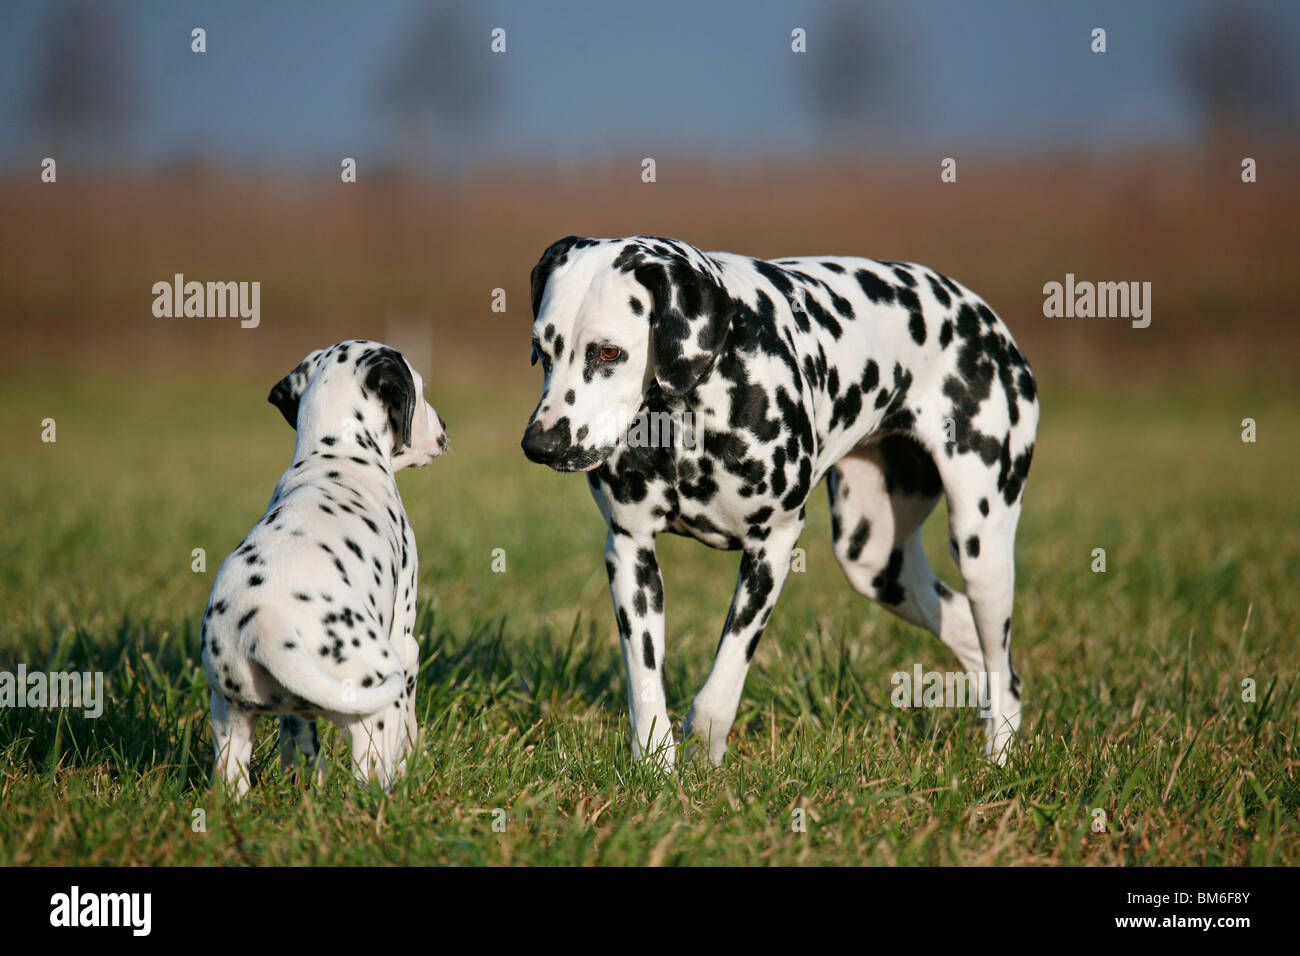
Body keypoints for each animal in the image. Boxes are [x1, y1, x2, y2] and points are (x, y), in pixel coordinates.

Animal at [201, 340, 447, 796]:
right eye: (420, 389)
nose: (443, 429)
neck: (336, 454)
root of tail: (263, 623)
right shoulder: (406, 643)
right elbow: (410, 731)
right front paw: (414, 763)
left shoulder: (291, 716)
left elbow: (299, 745)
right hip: (376, 700)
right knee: (372, 773)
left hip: (231, 718)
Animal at [522, 235, 1040, 764]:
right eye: (542, 349)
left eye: (609, 352)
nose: (540, 445)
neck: (688, 418)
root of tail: (983, 317)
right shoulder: (630, 550)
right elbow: (645, 681)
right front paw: (655, 764)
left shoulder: (771, 546)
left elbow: (723, 680)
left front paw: (703, 749)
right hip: (875, 561)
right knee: (973, 641)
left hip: (981, 551)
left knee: (1000, 665)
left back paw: (997, 758)